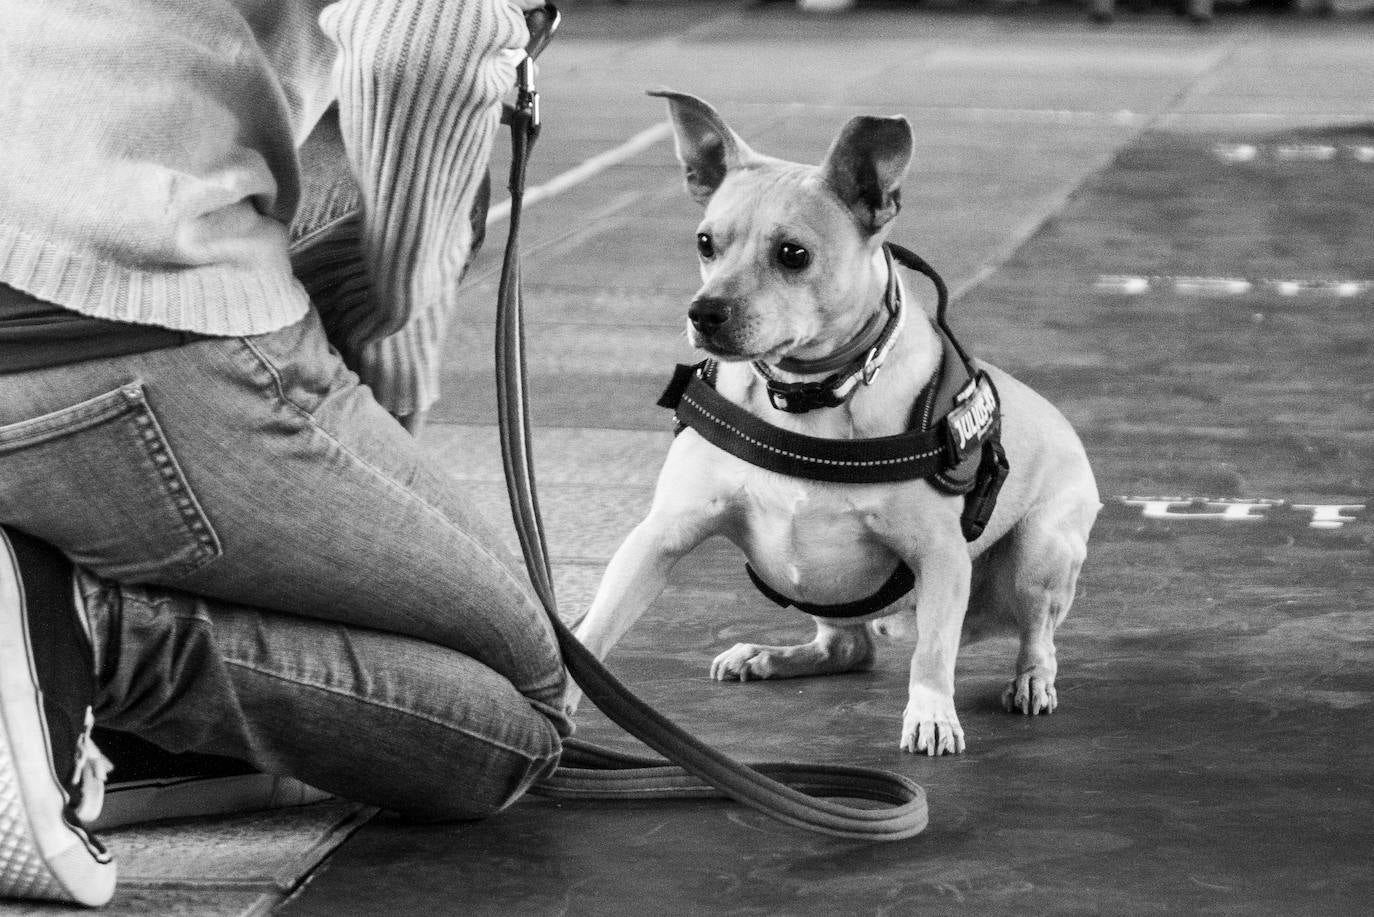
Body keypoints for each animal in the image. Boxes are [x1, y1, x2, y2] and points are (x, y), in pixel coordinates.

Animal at [571, 89, 1104, 758]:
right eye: (705, 243)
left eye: (793, 254)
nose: (704, 312)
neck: (808, 397)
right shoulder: (659, 536)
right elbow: (596, 627)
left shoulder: (941, 557)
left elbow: (933, 654)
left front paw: (931, 713)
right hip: (822, 590)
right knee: (849, 646)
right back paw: (770, 657)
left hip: (1039, 555)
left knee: (1036, 636)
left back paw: (1031, 680)